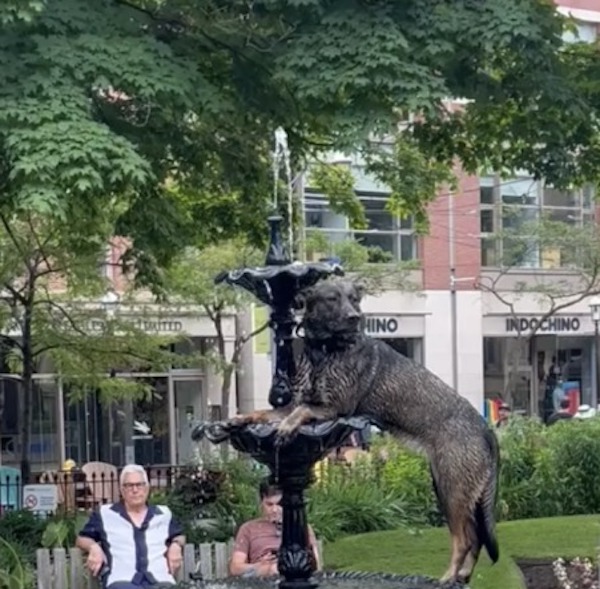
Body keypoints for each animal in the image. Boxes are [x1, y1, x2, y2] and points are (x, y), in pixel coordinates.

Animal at [227, 280, 500, 584]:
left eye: (354, 299)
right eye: (332, 298)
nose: (354, 317)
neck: (325, 349)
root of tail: (486, 430)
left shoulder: (334, 408)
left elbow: (301, 411)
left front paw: (286, 428)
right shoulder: (295, 404)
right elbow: (265, 412)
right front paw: (239, 419)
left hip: (451, 491)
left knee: (463, 540)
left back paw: (448, 578)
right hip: (449, 490)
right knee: (475, 537)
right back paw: (462, 575)